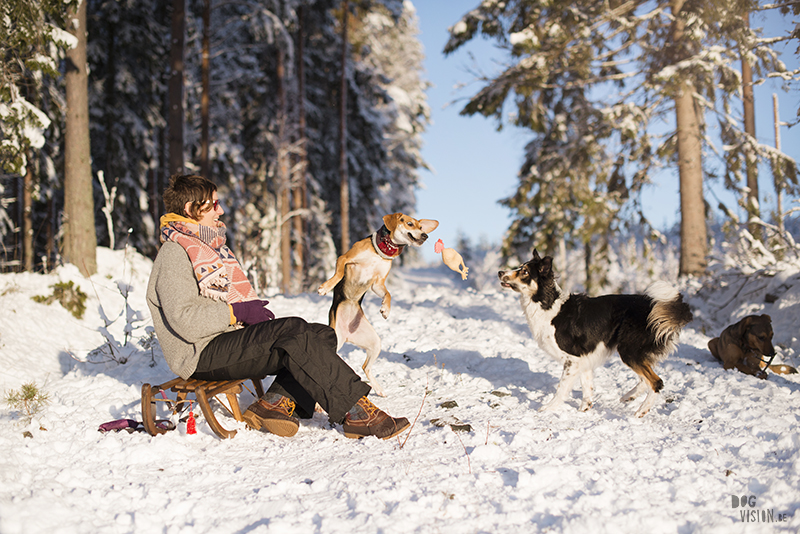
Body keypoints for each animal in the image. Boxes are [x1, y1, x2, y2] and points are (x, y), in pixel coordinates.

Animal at [318, 214, 438, 398]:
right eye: (410, 223)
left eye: (421, 227)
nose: (425, 235)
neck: (381, 253)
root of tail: (346, 335)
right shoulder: (345, 259)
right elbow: (339, 273)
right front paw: (326, 287)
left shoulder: (378, 283)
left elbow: (388, 294)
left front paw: (385, 309)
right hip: (336, 339)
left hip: (374, 343)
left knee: (365, 367)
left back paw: (379, 389)